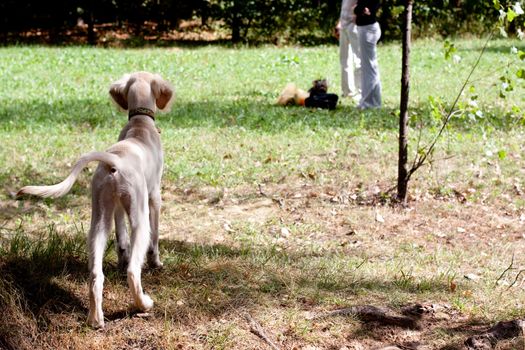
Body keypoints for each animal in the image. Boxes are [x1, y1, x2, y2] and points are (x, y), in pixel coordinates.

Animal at [17, 71, 174, 328]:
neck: (139, 125)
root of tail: (115, 161)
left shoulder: (117, 208)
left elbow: (122, 242)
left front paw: (121, 259)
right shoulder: (154, 196)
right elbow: (155, 238)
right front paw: (156, 263)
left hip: (99, 219)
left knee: (95, 275)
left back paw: (95, 318)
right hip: (139, 216)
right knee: (133, 270)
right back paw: (143, 304)